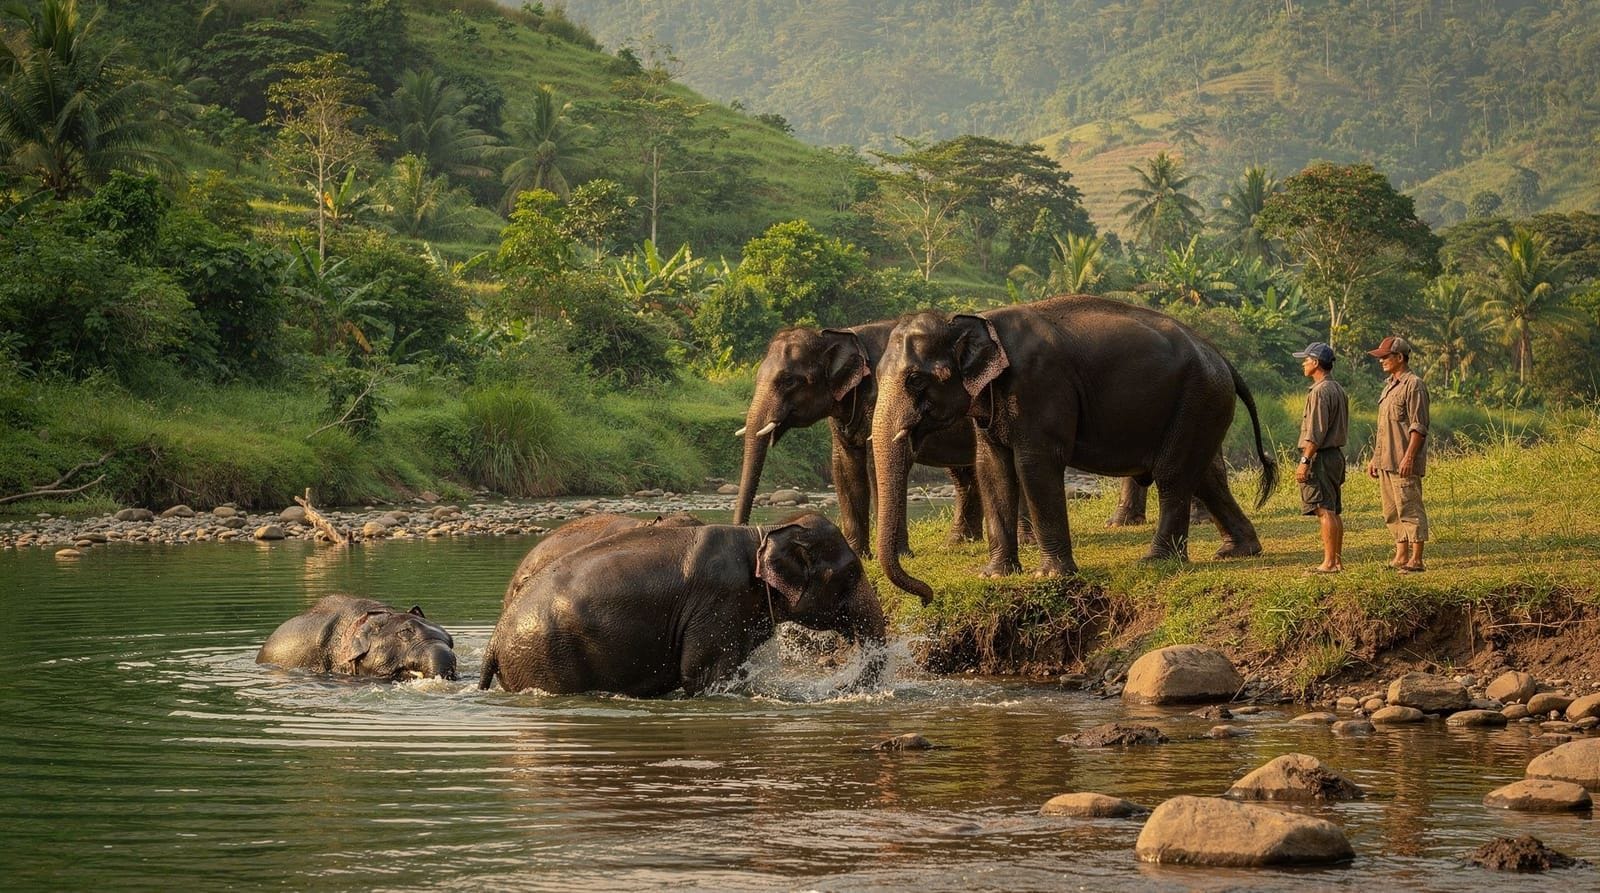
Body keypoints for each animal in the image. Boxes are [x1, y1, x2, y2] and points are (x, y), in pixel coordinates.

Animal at [734, 321, 998, 558]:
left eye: (789, 380)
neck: (840, 335)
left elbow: (879, 464)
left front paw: (898, 555)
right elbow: (844, 467)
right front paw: (858, 554)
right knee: (963, 474)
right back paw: (957, 543)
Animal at [871, 294, 1275, 603]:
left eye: (915, 379)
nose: (927, 596)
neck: (977, 318)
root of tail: (1224, 360)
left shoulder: (1039, 385)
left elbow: (1035, 464)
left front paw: (1049, 577)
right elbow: (993, 468)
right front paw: (994, 577)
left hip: (1197, 399)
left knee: (1173, 475)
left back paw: (1156, 561)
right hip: (1202, 407)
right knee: (1205, 477)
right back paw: (1237, 551)